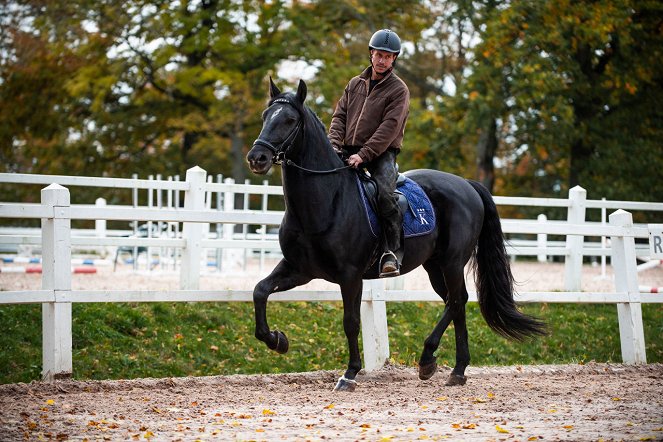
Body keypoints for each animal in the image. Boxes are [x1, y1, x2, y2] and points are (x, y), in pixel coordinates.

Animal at [246, 77, 548, 392]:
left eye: (290, 120)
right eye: (265, 116)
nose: (257, 158)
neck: (328, 201)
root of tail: (466, 184)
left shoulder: (350, 276)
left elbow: (350, 321)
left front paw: (349, 374)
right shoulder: (299, 269)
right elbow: (260, 291)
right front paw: (277, 340)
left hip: (452, 262)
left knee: (456, 300)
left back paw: (433, 360)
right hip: (434, 266)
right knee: (456, 302)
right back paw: (454, 369)